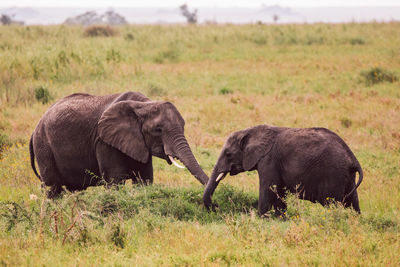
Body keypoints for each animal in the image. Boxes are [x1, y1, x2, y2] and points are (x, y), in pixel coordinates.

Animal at [31, 92, 209, 199]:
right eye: (158, 130)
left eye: (184, 126)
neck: (144, 104)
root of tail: (35, 129)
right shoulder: (104, 142)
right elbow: (115, 179)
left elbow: (144, 179)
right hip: (43, 146)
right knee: (52, 188)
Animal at [203, 125, 362, 216]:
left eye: (228, 154)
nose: (216, 206)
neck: (249, 132)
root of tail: (352, 158)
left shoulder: (269, 161)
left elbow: (268, 189)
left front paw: (264, 218)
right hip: (346, 176)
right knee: (352, 203)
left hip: (334, 174)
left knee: (333, 204)